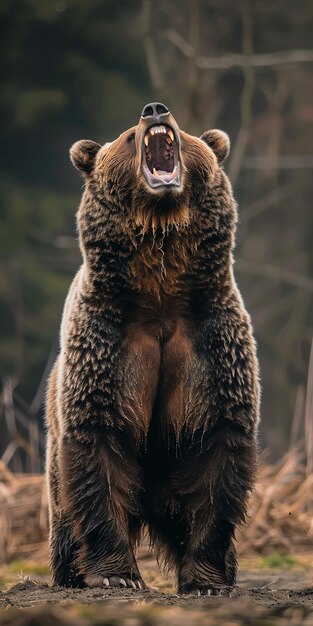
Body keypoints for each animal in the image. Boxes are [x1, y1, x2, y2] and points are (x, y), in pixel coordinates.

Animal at [46, 100, 260, 592]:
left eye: (187, 130)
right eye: (128, 136)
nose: (154, 109)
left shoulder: (210, 342)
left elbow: (217, 450)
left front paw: (205, 578)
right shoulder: (107, 342)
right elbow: (98, 446)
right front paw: (117, 575)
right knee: (65, 512)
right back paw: (70, 573)